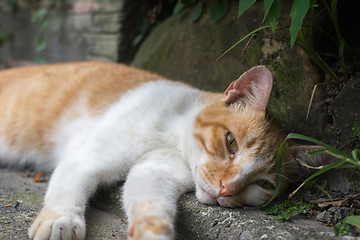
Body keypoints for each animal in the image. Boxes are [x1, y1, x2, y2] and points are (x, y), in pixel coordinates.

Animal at [0, 62, 332, 240]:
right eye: (231, 143)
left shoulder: (154, 173)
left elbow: (151, 206)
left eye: (263, 183)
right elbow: (68, 188)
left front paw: (152, 233)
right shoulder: (88, 158)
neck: (173, 135)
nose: (226, 189)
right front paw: (59, 221)